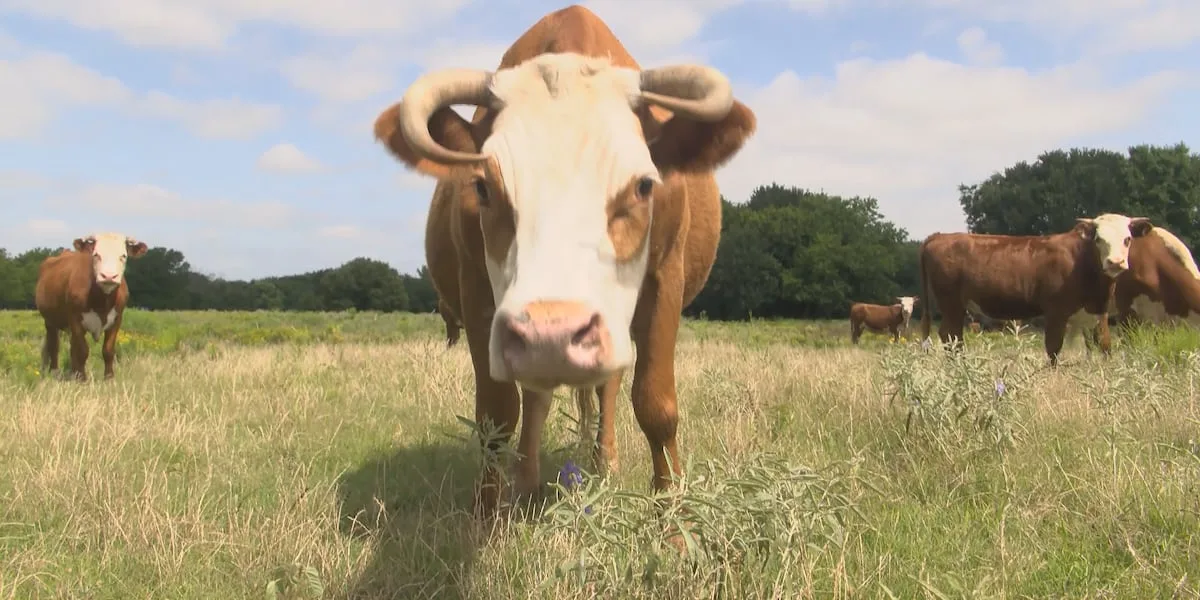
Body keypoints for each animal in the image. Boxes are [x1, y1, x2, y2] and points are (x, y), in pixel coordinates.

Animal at [34, 233, 148, 381]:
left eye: (123, 255)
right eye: (96, 255)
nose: (109, 276)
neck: (102, 301)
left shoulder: (116, 320)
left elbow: (108, 350)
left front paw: (109, 378)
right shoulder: (75, 320)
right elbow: (82, 351)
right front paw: (82, 379)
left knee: (71, 348)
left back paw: (73, 372)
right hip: (50, 321)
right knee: (54, 346)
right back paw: (55, 372)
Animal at [372, 4, 755, 519]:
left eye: (643, 185)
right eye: (483, 187)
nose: (550, 334)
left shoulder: (665, 279)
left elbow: (656, 406)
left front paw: (673, 517)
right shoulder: (477, 290)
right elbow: (497, 414)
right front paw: (487, 516)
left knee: (606, 387)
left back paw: (603, 462)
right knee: (537, 396)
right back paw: (529, 479)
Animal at [918, 214, 1152, 365]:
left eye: (1127, 239)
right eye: (1098, 239)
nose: (1115, 262)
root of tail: (940, 236)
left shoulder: (1097, 312)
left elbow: (1104, 345)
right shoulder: (1056, 312)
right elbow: (1053, 349)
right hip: (951, 304)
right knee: (951, 336)